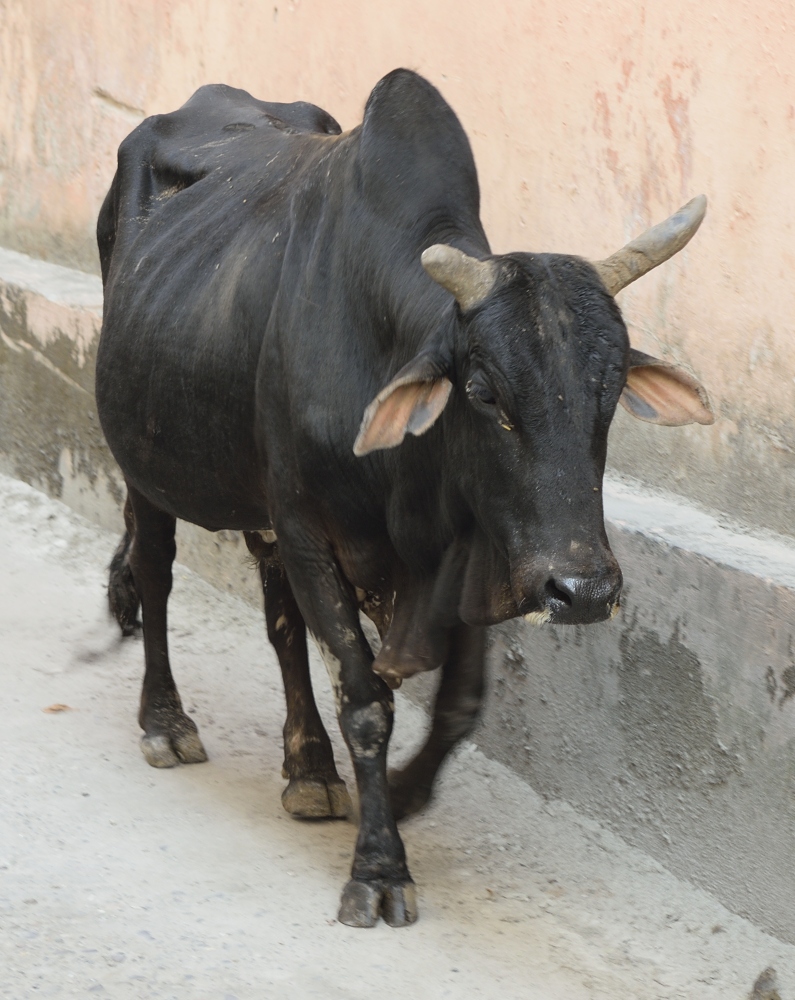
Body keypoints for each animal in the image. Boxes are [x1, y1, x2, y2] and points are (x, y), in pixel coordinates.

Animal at [95, 69, 714, 928]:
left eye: (611, 387)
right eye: (483, 392)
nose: (584, 589)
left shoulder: (478, 551)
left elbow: (458, 702)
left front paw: (404, 790)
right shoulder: (309, 530)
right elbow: (365, 699)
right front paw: (379, 868)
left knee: (279, 622)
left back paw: (310, 769)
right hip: (148, 465)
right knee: (156, 573)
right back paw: (165, 722)